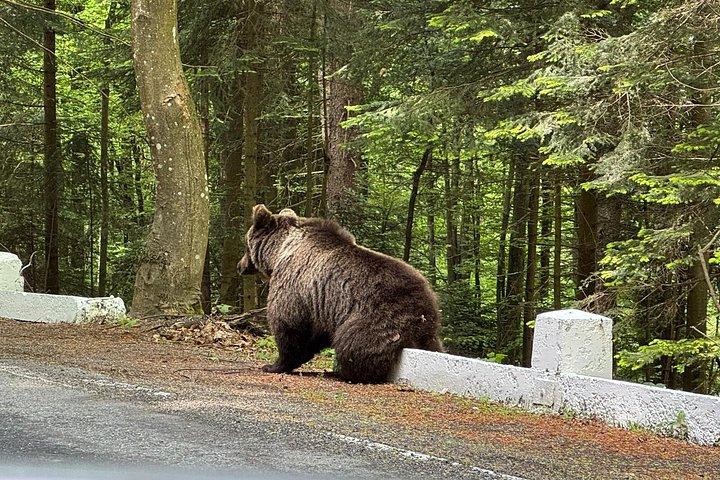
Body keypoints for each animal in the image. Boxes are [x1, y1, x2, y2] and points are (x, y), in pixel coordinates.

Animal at [238, 204, 443, 383]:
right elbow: (314, 335)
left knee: (352, 345)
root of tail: (426, 310)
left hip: (378, 318)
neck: (279, 252)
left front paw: (274, 365)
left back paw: (345, 372)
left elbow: (288, 325)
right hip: (429, 335)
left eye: (245, 246)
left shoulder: (294, 286)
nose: (240, 266)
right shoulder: (319, 305)